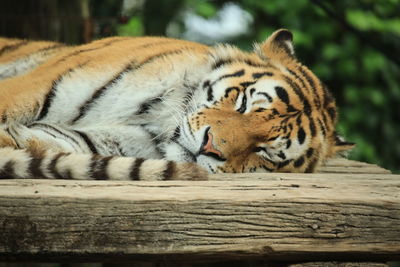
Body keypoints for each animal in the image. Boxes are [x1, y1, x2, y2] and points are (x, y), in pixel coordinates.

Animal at [0, 29, 354, 182]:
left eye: (265, 151)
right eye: (243, 102)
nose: (209, 147)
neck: (156, 117)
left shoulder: (106, 141)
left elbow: (49, 142)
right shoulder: (27, 90)